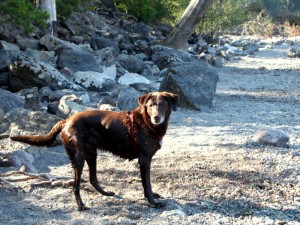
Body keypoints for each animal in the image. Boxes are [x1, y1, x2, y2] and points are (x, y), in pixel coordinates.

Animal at [10, 90, 177, 210]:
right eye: (150, 106)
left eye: (162, 105)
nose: (156, 118)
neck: (147, 123)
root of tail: (66, 120)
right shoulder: (144, 160)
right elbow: (147, 183)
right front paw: (152, 202)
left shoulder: (144, 161)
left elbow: (146, 183)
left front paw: (151, 197)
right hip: (79, 158)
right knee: (75, 186)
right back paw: (80, 205)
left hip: (91, 153)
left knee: (92, 179)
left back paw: (105, 193)